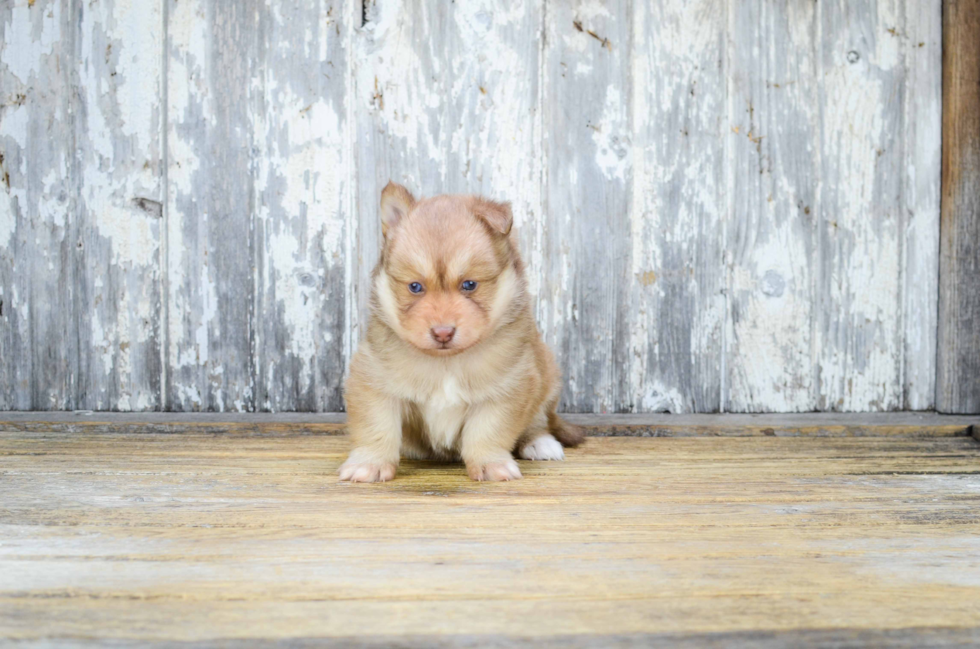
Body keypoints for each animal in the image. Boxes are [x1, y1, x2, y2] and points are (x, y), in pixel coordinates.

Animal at [338, 182, 580, 480]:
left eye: (469, 285)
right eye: (415, 287)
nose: (442, 333)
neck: (446, 363)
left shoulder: (509, 385)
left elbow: (487, 431)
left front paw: (490, 463)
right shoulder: (374, 381)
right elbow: (376, 427)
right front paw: (369, 463)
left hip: (547, 375)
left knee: (539, 419)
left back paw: (540, 442)